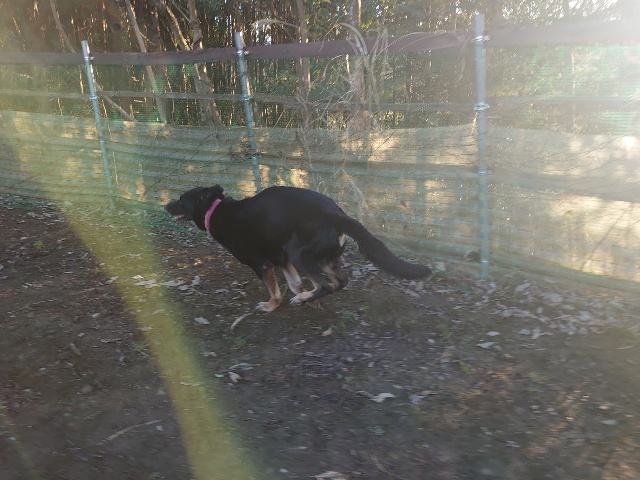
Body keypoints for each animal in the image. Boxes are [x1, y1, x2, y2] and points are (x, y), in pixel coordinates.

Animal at [165, 185, 432, 312]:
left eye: (181, 200)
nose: (164, 206)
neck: (216, 209)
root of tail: (335, 214)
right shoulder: (282, 259)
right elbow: (293, 283)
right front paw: (302, 296)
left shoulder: (263, 265)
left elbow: (275, 291)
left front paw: (271, 306)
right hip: (318, 258)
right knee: (338, 282)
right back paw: (307, 297)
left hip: (300, 255)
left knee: (326, 284)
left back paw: (306, 297)